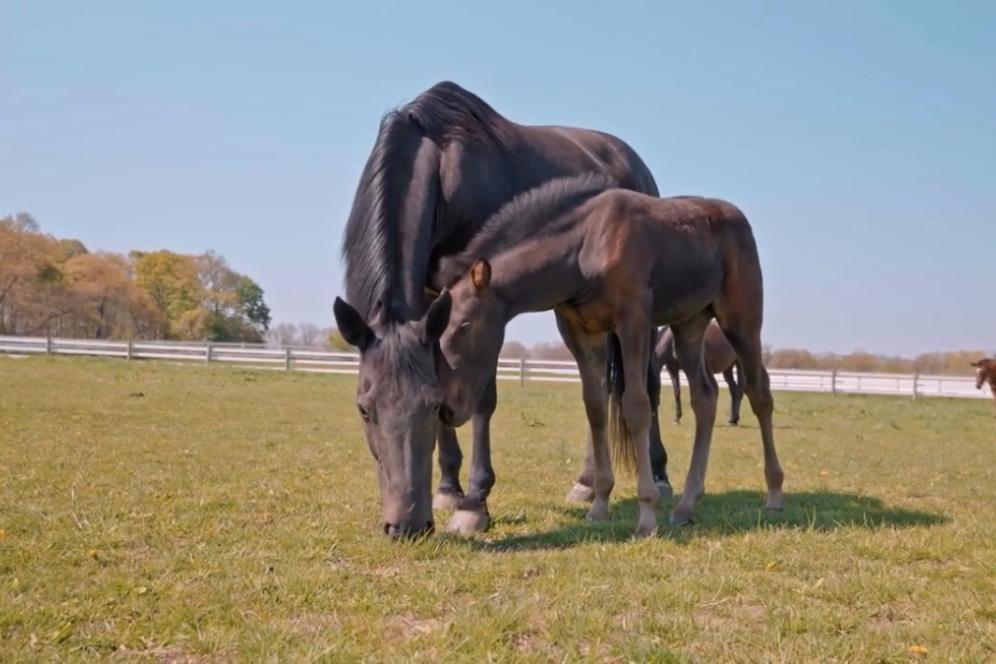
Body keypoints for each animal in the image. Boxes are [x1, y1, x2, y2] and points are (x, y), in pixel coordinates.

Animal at [332, 82, 670, 538]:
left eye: (429, 406)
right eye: (364, 408)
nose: (406, 526)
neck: (442, 166)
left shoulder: (485, 304)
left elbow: (483, 399)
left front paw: (474, 503)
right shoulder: (436, 302)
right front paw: (448, 487)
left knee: (646, 384)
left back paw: (661, 475)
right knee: (597, 386)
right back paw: (585, 483)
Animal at [430, 173, 785, 534]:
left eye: (463, 325)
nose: (447, 410)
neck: (583, 248)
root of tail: (737, 217)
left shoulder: (633, 320)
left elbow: (636, 405)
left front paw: (646, 515)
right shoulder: (584, 331)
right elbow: (595, 407)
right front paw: (598, 505)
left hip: (740, 319)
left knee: (759, 391)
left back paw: (774, 494)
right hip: (690, 324)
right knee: (705, 396)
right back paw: (686, 505)